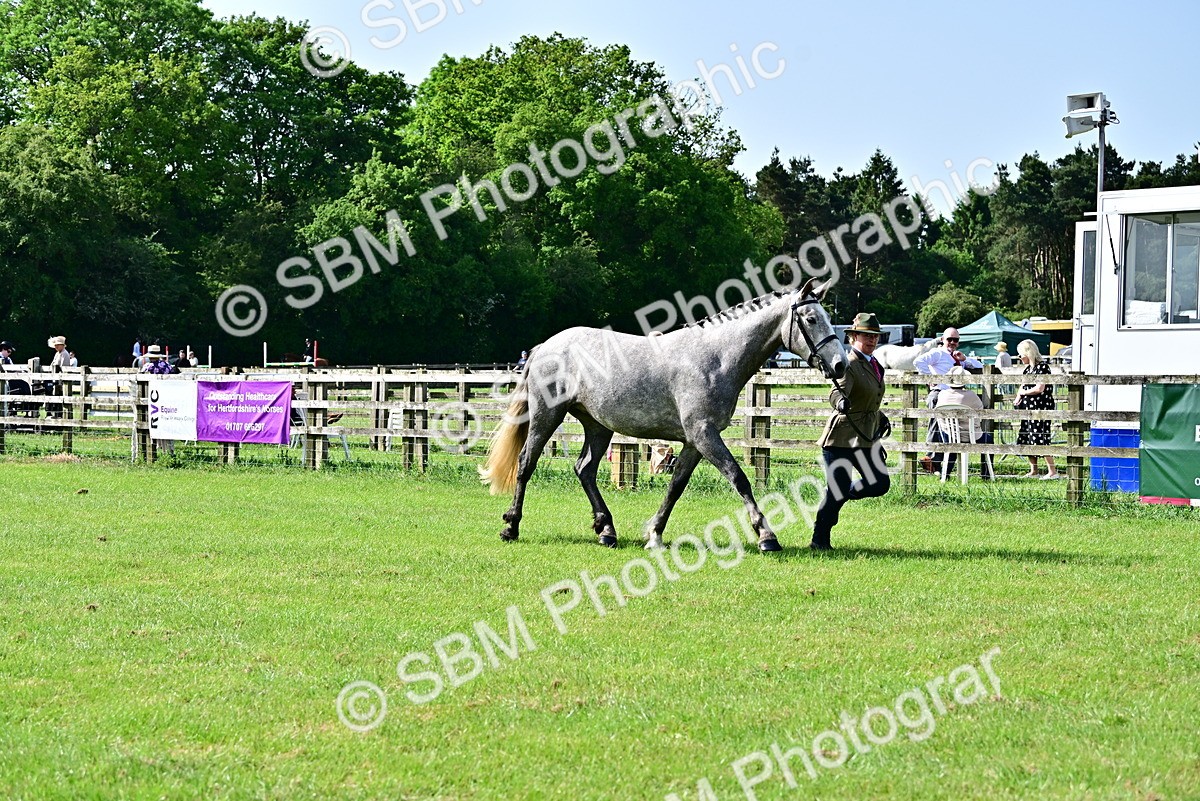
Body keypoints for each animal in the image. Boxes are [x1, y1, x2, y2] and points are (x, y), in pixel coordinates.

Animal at [479, 277, 849, 552]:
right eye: (812, 319)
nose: (840, 365)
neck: (715, 357)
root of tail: (546, 346)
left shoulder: (694, 441)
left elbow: (676, 485)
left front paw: (655, 534)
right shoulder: (704, 434)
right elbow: (738, 477)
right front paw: (766, 536)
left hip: (597, 425)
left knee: (584, 470)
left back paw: (606, 530)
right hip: (546, 416)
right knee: (526, 463)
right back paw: (511, 526)